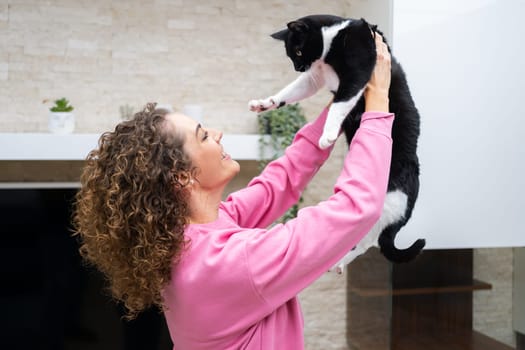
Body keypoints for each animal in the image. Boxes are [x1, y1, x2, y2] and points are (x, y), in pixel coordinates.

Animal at [248, 14, 424, 270]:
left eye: (298, 51)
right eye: (291, 55)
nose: (297, 67)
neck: (332, 42)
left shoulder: (358, 70)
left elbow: (341, 102)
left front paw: (328, 134)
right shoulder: (314, 76)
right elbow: (292, 90)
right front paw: (265, 103)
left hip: (386, 205)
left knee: (367, 242)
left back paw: (340, 262)